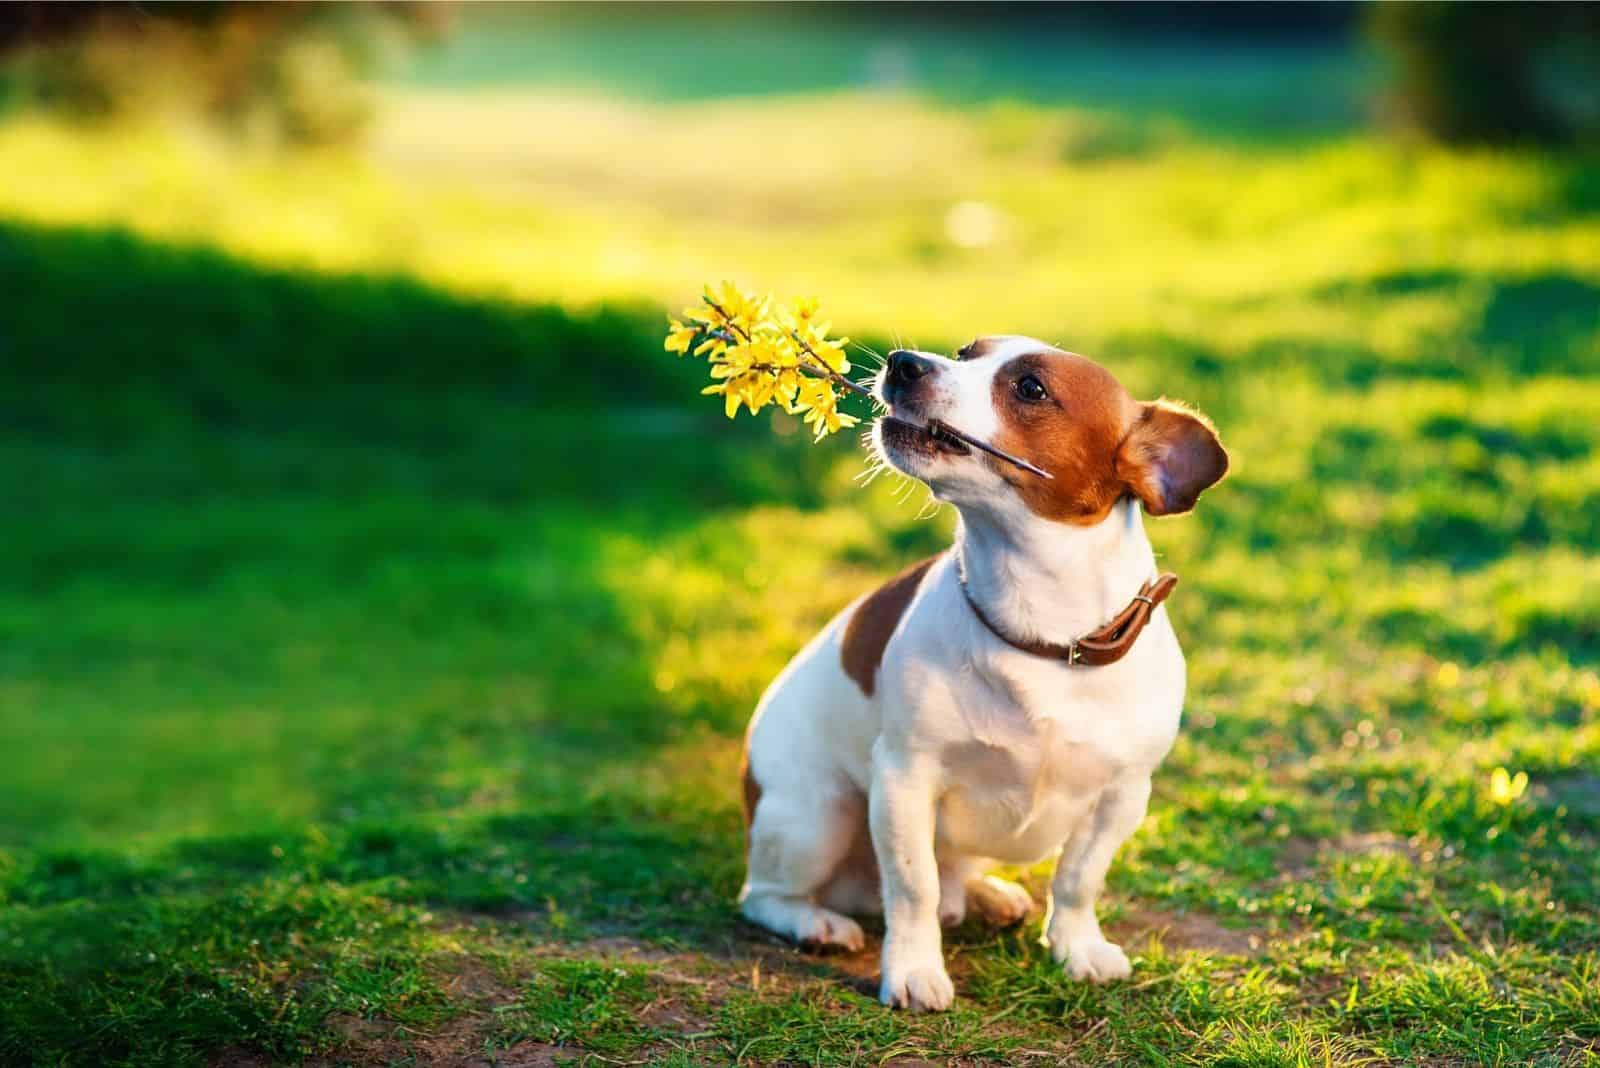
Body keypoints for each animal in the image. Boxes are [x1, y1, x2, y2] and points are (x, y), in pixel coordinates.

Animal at [736, 337, 1222, 1016]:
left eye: (1031, 389)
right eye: (965, 353)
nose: (903, 361)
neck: (1044, 637)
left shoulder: (1122, 796)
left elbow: (1078, 880)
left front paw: (1077, 948)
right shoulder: (905, 780)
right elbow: (913, 885)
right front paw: (914, 970)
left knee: (954, 875)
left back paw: (988, 895)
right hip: (817, 815)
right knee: (766, 895)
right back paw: (817, 923)